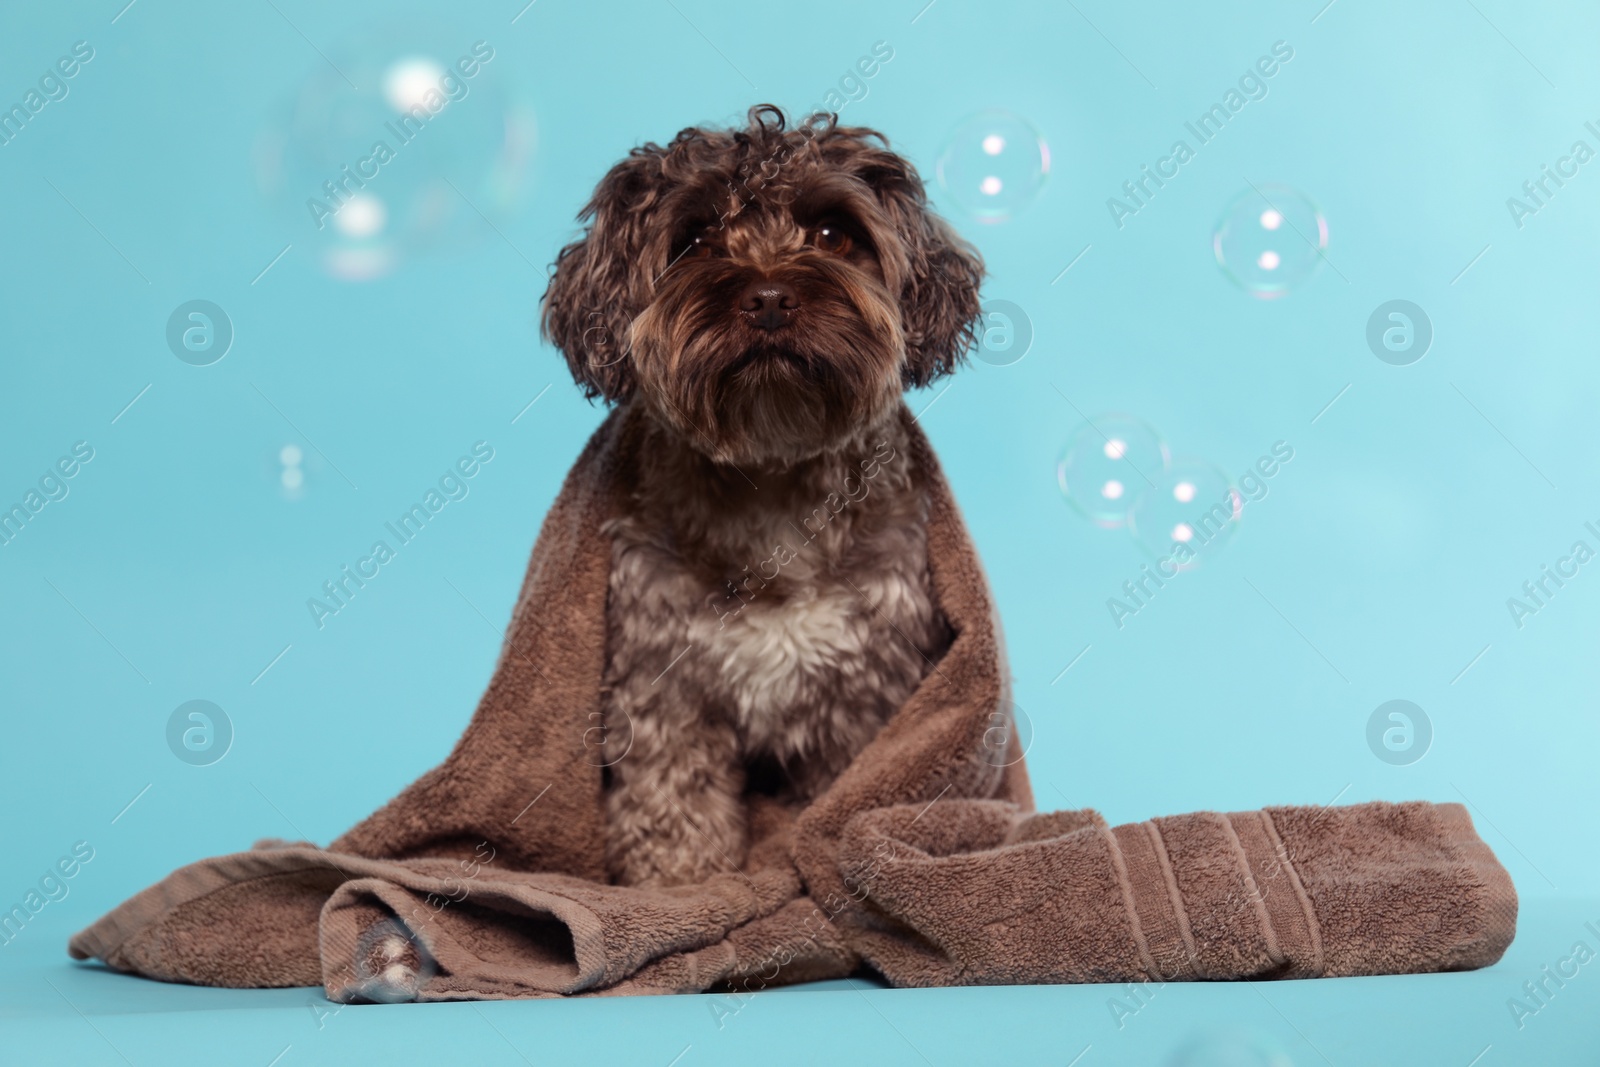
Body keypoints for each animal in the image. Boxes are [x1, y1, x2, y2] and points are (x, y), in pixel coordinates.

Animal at [544, 103, 979, 889]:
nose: (771, 296)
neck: (772, 477)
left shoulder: (868, 694)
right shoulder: (664, 687)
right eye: (692, 239)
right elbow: (672, 804)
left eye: (835, 234)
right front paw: (680, 888)